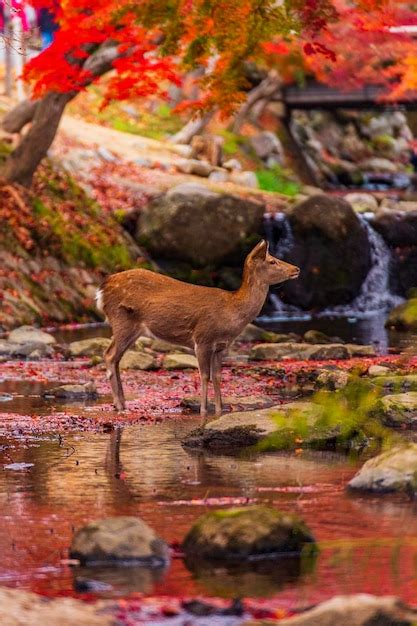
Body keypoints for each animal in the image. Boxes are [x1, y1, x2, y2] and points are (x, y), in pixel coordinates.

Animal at [96, 239, 300, 420]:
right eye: (272, 261)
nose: (296, 269)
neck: (231, 313)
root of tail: (102, 289)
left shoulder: (221, 346)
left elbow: (217, 376)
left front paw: (219, 410)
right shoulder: (203, 339)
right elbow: (204, 376)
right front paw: (203, 411)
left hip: (131, 328)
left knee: (115, 358)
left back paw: (123, 403)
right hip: (122, 319)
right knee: (109, 355)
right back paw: (119, 405)